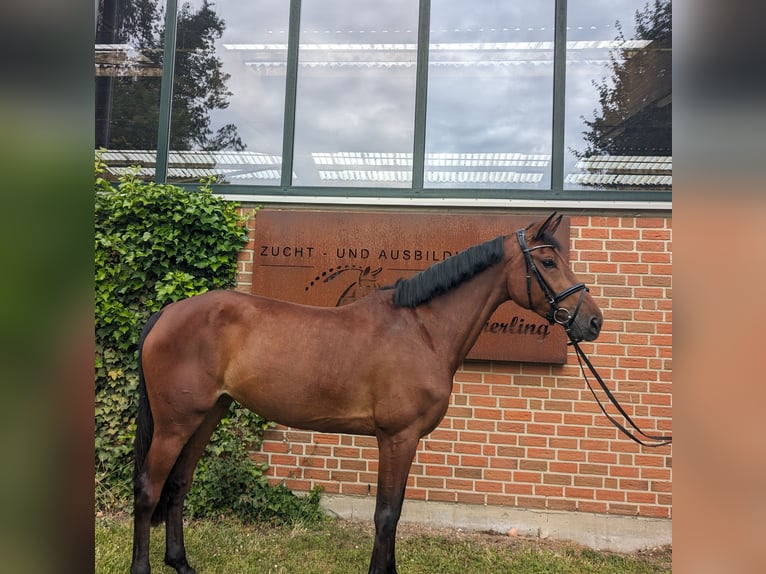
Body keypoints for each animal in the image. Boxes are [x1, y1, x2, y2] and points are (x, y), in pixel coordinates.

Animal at [129, 214, 604, 574]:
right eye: (548, 261)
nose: (593, 321)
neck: (422, 330)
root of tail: (168, 312)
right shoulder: (397, 437)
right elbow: (386, 514)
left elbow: (392, 513)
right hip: (175, 424)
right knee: (150, 488)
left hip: (207, 415)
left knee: (178, 484)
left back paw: (182, 563)